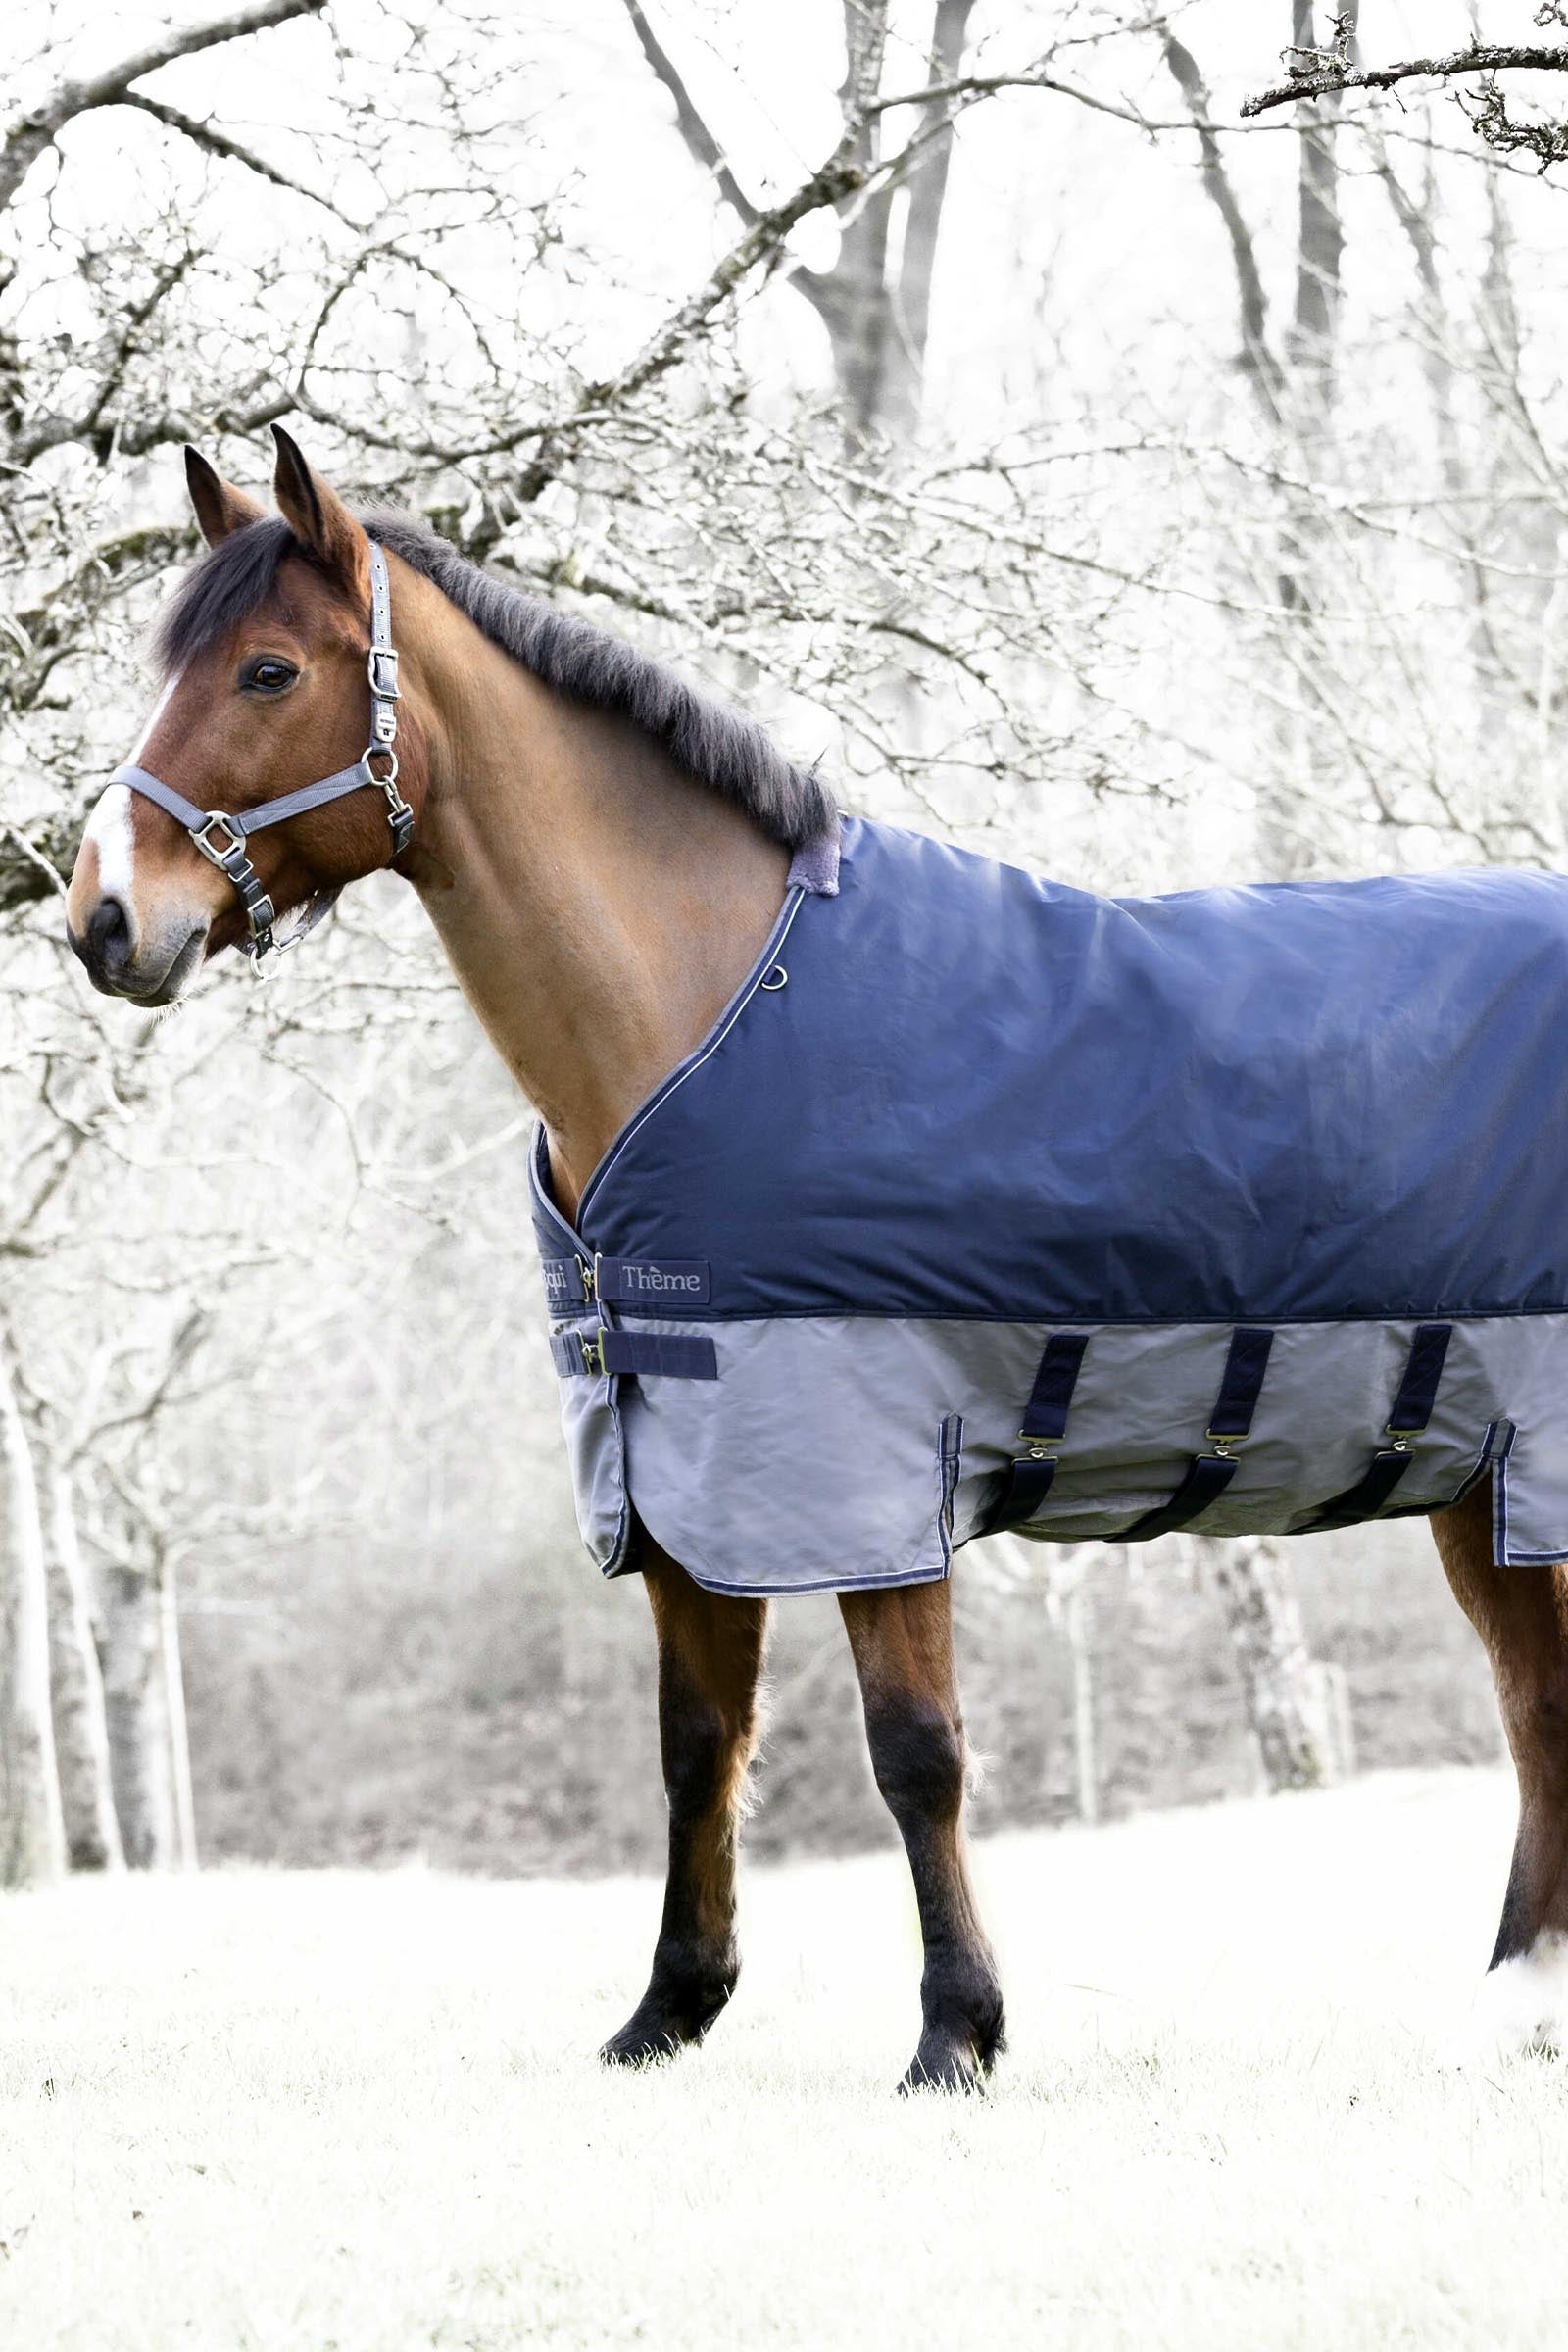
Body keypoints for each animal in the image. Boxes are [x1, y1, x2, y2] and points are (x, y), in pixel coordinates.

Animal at [64, 428, 1568, 2088]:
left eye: (267, 672)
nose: (102, 918)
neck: (706, 1005)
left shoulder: (864, 1472)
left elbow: (915, 1754)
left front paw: (955, 2034)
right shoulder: (683, 1475)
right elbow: (696, 1743)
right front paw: (671, 2009)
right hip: (1486, 1486)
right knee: (1536, 1699)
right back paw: (1520, 1995)